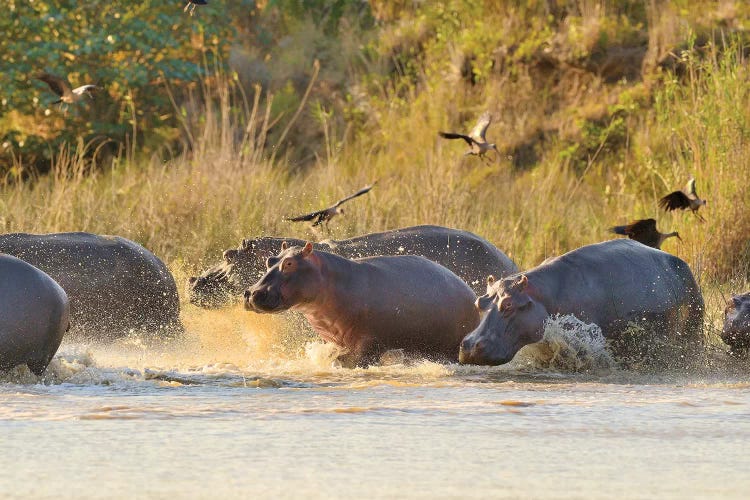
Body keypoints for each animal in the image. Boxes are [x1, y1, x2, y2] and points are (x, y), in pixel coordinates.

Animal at [247, 241, 482, 364]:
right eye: (269, 260)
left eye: (289, 263)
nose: (252, 292)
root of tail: (471, 293)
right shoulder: (332, 340)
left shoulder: (368, 343)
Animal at [462, 240, 708, 366]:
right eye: (478, 302)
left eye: (509, 305)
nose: (469, 345)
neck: (543, 294)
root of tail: (681, 262)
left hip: (692, 329)